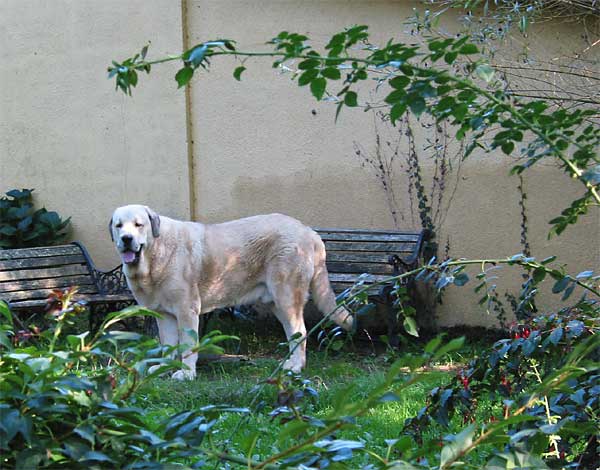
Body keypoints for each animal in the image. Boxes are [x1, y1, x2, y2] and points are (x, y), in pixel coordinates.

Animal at [109, 204, 352, 380]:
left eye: (139, 225)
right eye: (119, 226)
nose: (126, 239)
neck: (154, 255)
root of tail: (309, 232)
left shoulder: (186, 310)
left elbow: (187, 345)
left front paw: (186, 373)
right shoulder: (164, 314)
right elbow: (167, 345)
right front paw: (163, 368)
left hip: (287, 295)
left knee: (300, 331)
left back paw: (295, 368)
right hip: (277, 302)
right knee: (293, 333)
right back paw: (290, 364)